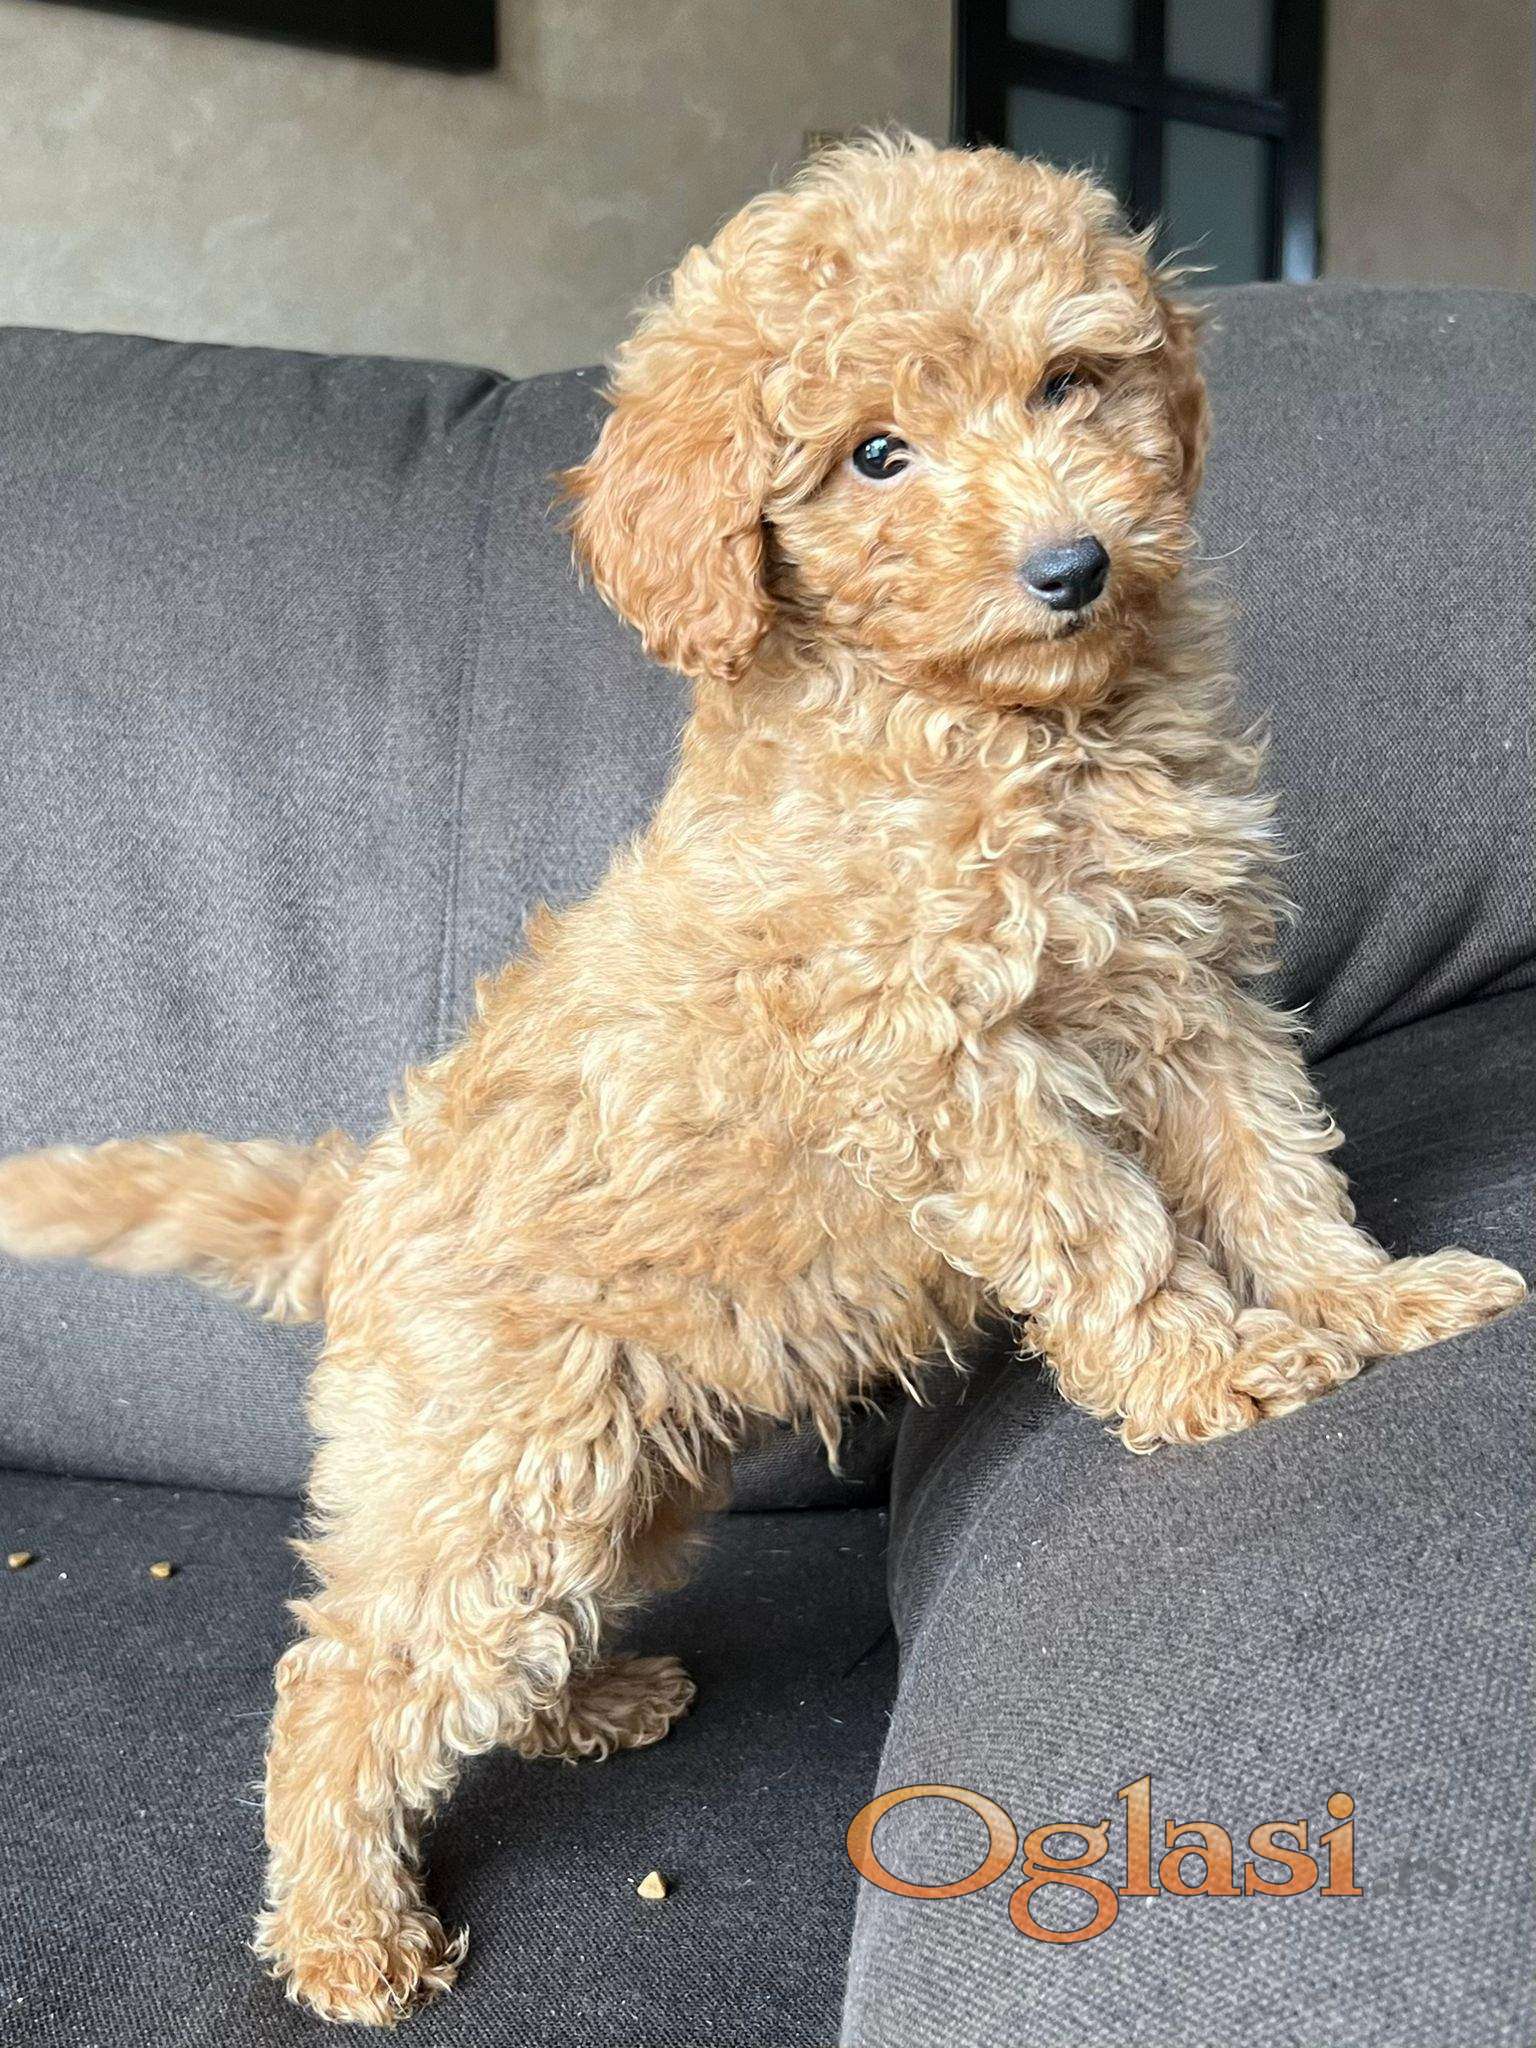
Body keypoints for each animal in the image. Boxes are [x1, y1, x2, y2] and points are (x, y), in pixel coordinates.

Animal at [0, 136, 1524, 2025]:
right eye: (875, 455)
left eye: (1070, 382)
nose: (1075, 563)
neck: (1006, 728)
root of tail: (359, 1200)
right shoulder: (946, 1060)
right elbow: (1107, 1232)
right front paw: (1214, 1369)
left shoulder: (1193, 996)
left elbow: (1274, 1170)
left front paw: (1369, 1302)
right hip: (499, 1460)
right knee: (355, 1677)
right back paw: (350, 1933)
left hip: (617, 1479)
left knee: (489, 1646)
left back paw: (588, 1704)